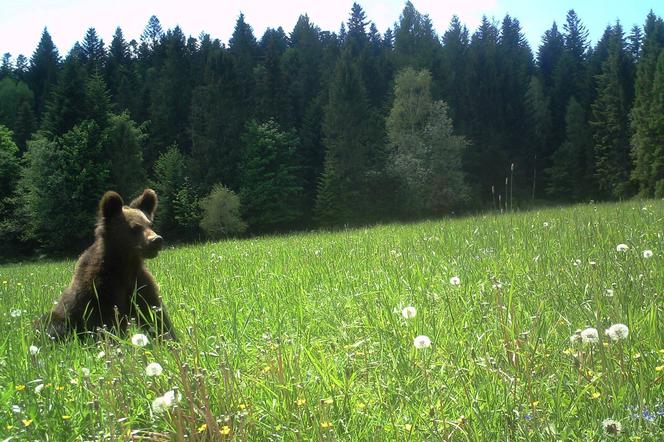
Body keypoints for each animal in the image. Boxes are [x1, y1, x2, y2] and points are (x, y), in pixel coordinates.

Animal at [39, 188, 176, 340]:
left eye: (150, 224)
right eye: (134, 227)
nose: (156, 240)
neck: (125, 264)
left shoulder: (139, 285)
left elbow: (155, 316)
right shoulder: (101, 290)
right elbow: (107, 323)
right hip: (61, 317)